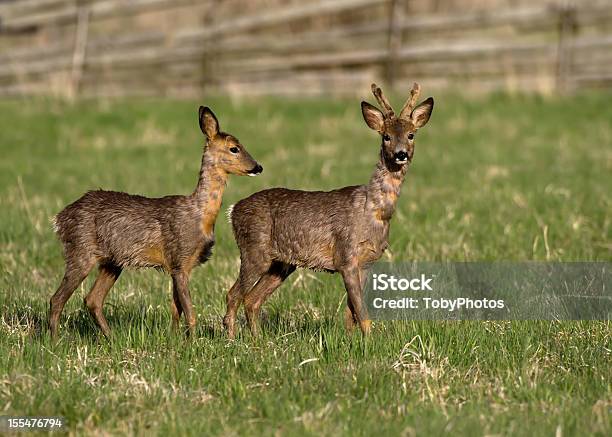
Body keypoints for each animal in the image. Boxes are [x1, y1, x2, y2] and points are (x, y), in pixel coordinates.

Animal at [50, 104, 262, 338]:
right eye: (234, 148)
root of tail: (60, 218)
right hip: (81, 250)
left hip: (112, 261)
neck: (200, 215)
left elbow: (176, 310)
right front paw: (192, 341)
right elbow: (190, 313)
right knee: (56, 299)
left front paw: (176, 339)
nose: (257, 167)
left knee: (92, 299)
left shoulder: (179, 265)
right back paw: (55, 340)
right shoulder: (180, 258)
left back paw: (111, 338)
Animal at [226, 85, 436, 338]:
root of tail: (233, 210)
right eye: (386, 136)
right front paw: (369, 340)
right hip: (254, 250)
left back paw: (257, 340)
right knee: (233, 295)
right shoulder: (345, 255)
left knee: (252, 299)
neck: (374, 211)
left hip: (281, 263)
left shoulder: (366, 262)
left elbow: (351, 312)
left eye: (411, 134)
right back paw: (231, 339)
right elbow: (362, 313)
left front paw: (353, 341)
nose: (400, 153)